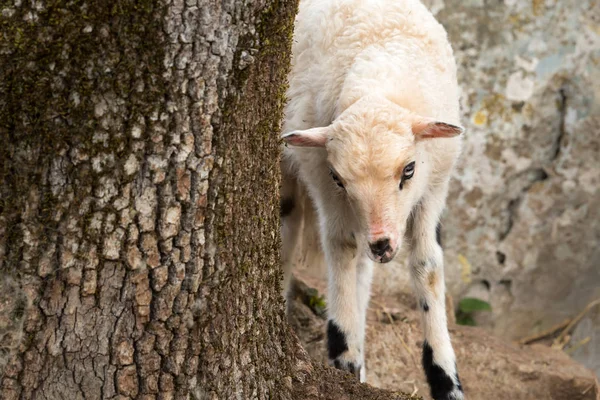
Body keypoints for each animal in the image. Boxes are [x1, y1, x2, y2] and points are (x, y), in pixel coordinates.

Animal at [280, 0, 464, 400]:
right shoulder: (325, 185)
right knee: (288, 229)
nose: (382, 245)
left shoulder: (434, 188)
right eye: (339, 178)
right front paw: (345, 357)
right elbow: (341, 249)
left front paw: (446, 379)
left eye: (409, 169)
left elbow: (427, 265)